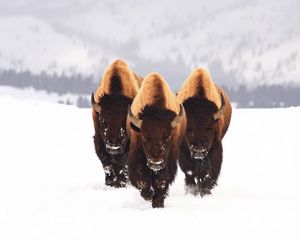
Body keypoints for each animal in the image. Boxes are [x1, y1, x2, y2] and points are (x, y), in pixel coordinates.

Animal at [91, 59, 143, 188]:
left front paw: (121, 183)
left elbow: (122, 165)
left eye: (125, 122)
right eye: (103, 120)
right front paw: (110, 183)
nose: (113, 146)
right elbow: (107, 163)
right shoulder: (99, 140)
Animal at [126, 72, 185, 207]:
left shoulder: (168, 160)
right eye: (144, 136)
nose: (155, 162)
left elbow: (161, 181)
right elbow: (142, 179)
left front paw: (158, 203)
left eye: (167, 136)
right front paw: (148, 195)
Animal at [176, 68, 232, 197]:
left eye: (209, 128)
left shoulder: (216, 147)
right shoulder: (183, 150)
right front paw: (192, 191)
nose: (199, 151)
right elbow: (190, 172)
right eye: (189, 128)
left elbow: (209, 173)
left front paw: (205, 191)